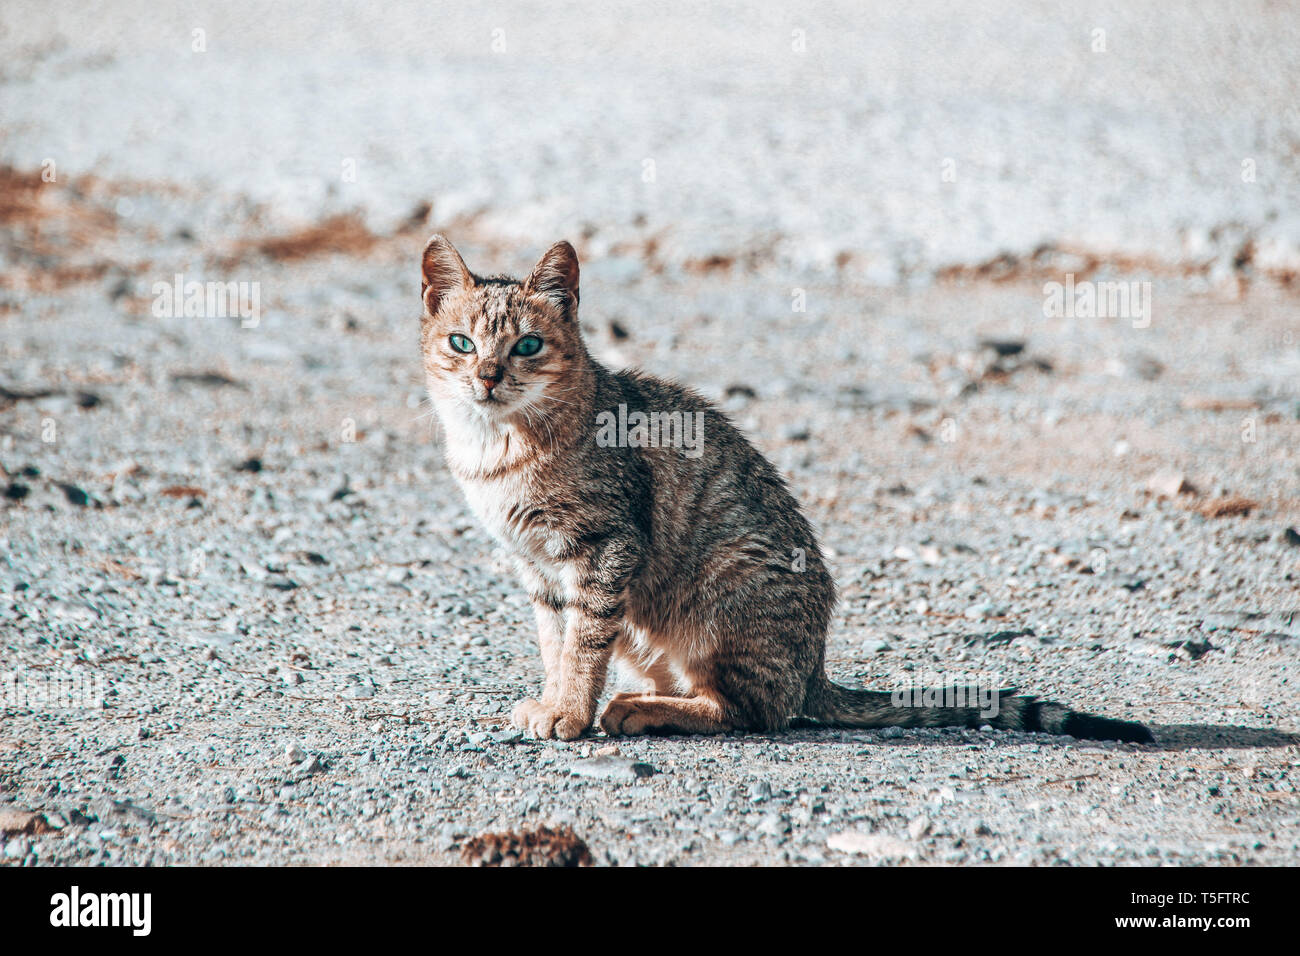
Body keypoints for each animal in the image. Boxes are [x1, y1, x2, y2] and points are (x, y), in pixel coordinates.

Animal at [413, 235, 1149, 743]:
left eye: (528, 346)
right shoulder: (536, 567)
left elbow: (583, 643)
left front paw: (570, 710)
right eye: (461, 342)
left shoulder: (604, 546)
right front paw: (552, 698)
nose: (486, 376)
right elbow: (553, 640)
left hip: (726, 589)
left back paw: (638, 710)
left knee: (753, 711)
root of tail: (817, 665)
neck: (499, 448)